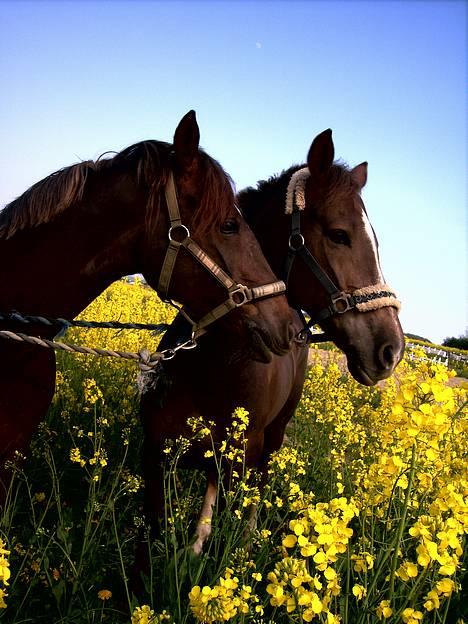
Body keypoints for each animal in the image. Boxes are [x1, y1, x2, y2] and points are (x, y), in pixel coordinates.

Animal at [140, 129, 406, 552]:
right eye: (339, 235)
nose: (391, 350)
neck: (213, 365)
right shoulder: (156, 453)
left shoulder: (239, 455)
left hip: (275, 435)